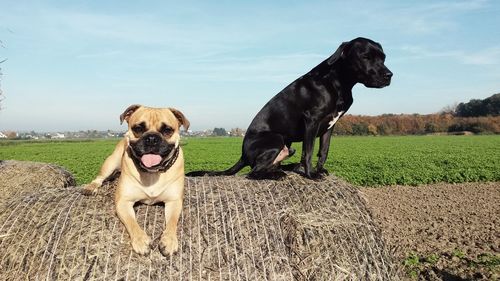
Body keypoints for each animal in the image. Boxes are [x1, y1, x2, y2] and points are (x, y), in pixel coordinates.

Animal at [84, 104, 189, 255]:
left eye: (167, 130)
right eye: (138, 128)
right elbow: (132, 222)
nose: (151, 138)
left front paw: (169, 240)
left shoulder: (174, 201)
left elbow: (172, 222)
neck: (152, 172)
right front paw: (141, 240)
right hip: (111, 162)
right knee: (100, 177)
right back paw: (90, 187)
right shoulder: (123, 202)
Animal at [187, 37, 390, 179]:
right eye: (365, 57)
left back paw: (288, 168)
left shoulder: (330, 126)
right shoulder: (312, 120)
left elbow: (323, 152)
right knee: (254, 172)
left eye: (383, 57)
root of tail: (243, 155)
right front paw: (311, 175)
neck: (338, 81)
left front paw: (319, 170)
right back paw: (278, 175)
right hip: (276, 139)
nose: (389, 75)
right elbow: (308, 151)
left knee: (269, 166)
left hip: (288, 145)